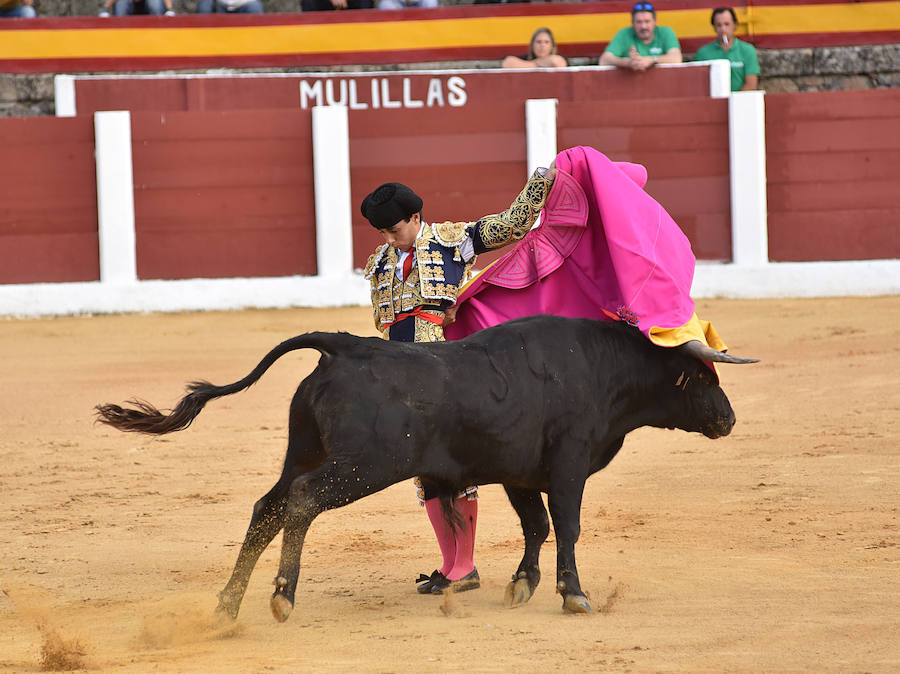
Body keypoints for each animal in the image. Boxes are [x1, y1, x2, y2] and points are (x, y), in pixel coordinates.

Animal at [95, 316, 756, 620]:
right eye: (703, 377)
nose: (729, 419)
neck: (601, 369)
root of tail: (345, 346)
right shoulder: (568, 465)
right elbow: (565, 525)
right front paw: (573, 594)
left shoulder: (520, 474)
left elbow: (536, 527)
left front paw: (521, 584)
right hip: (361, 467)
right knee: (303, 500)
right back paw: (282, 596)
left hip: (304, 449)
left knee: (269, 506)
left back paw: (228, 605)